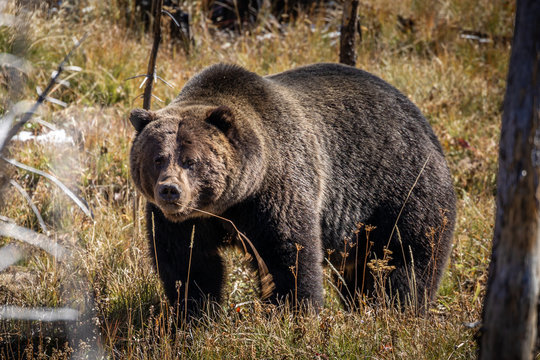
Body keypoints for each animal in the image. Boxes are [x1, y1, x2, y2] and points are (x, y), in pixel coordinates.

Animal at [130, 62, 456, 318]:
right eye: (157, 158)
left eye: (191, 161)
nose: (170, 191)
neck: (228, 204)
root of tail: (421, 119)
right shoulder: (183, 221)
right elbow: (188, 265)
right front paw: (191, 315)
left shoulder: (275, 192)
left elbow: (290, 255)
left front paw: (293, 314)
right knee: (362, 274)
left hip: (400, 186)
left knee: (406, 259)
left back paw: (398, 309)